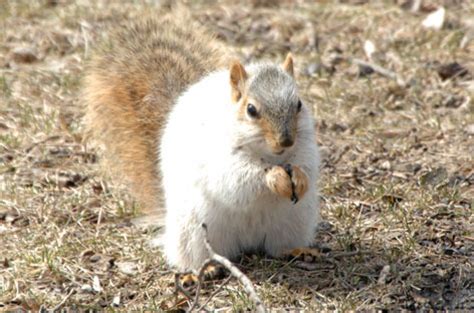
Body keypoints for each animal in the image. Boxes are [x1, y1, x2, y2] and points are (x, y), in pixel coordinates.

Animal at [83, 12, 320, 270]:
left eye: (299, 104)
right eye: (251, 109)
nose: (285, 141)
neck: (268, 155)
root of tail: (247, 242)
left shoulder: (305, 145)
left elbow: (307, 164)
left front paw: (300, 178)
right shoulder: (220, 158)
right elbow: (237, 179)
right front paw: (274, 176)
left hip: (293, 222)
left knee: (278, 247)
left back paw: (298, 251)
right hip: (194, 231)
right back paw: (203, 269)